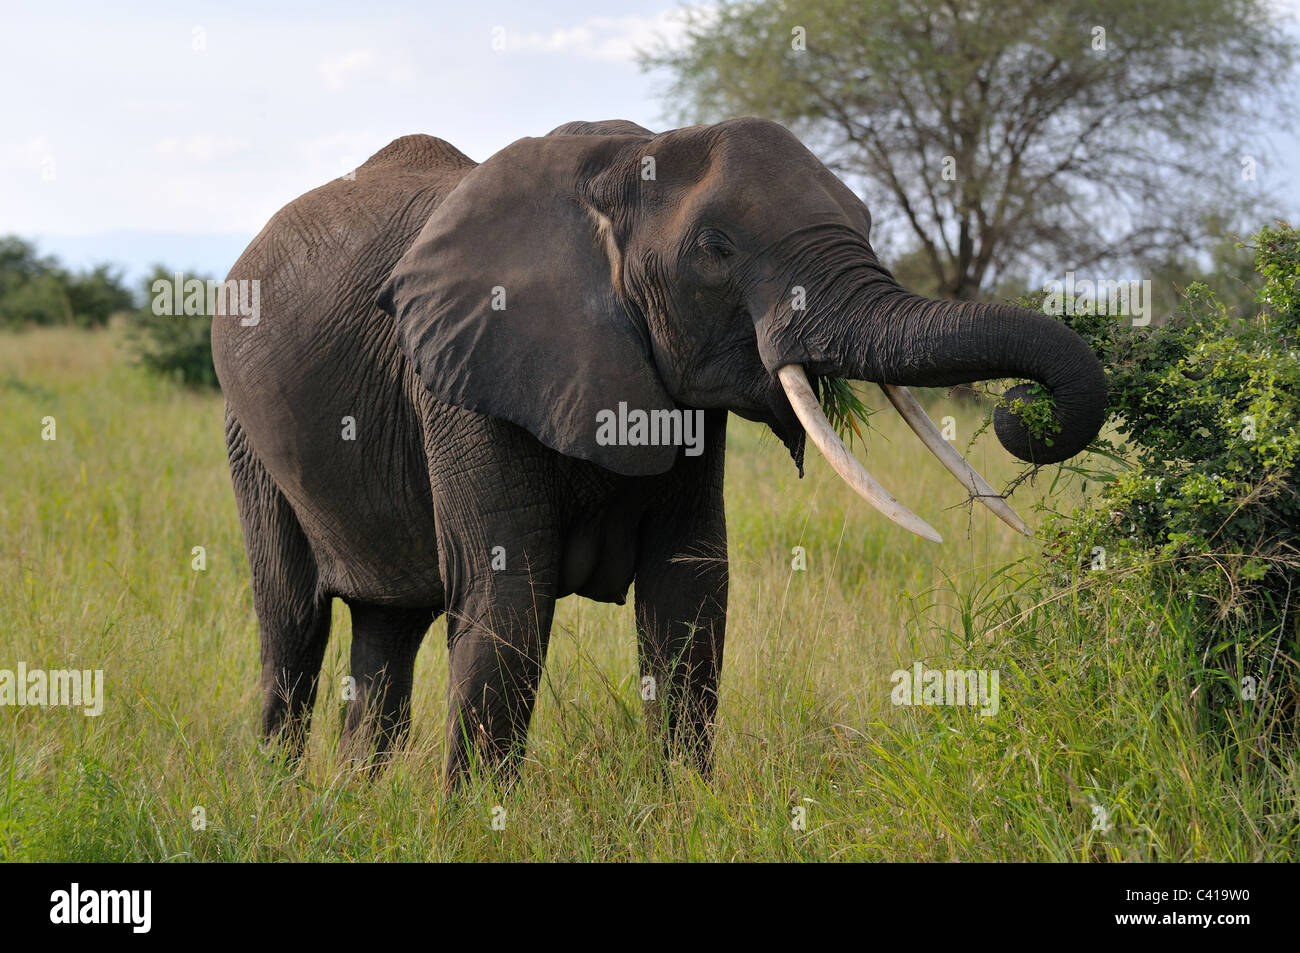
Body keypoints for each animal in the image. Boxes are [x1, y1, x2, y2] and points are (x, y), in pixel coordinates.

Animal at [213, 115, 1107, 785]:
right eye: (714, 249)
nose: (1021, 411)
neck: (618, 162)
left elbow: (691, 592)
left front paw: (684, 807)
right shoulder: (458, 369)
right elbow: (507, 596)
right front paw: (473, 825)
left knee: (385, 628)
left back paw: (355, 798)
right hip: (245, 432)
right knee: (293, 623)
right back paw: (287, 796)